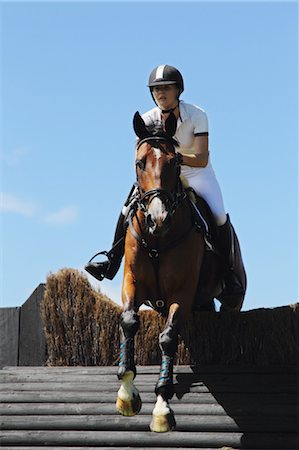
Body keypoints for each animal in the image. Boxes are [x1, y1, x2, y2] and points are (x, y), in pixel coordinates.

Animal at [116, 111, 243, 432]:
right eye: (139, 163)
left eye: (175, 163)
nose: (157, 218)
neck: (158, 239)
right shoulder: (132, 282)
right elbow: (129, 321)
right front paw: (126, 392)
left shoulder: (182, 292)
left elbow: (168, 338)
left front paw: (162, 407)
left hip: (231, 299)